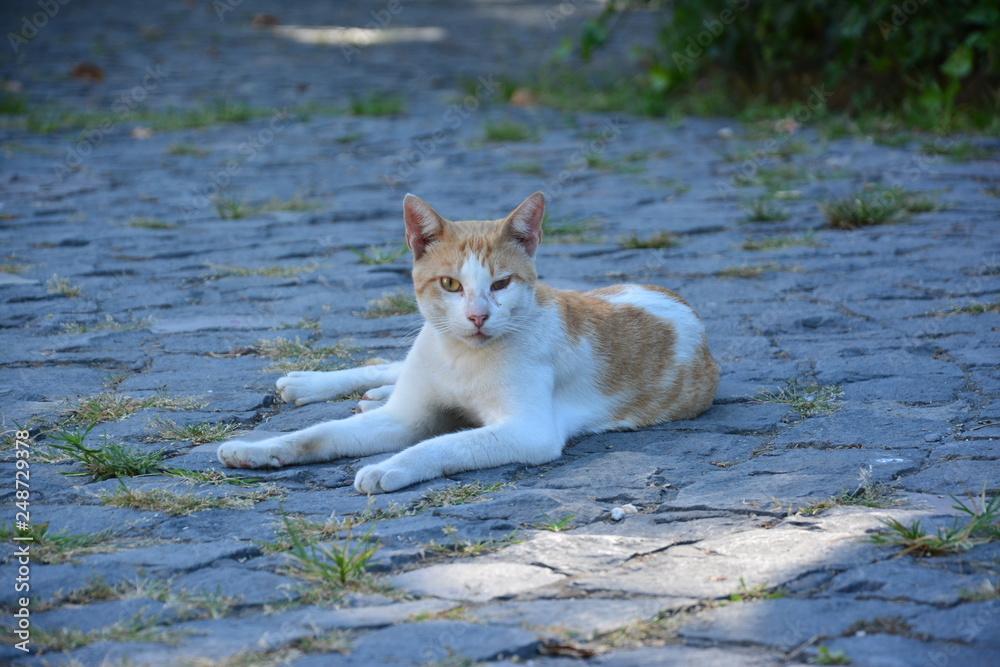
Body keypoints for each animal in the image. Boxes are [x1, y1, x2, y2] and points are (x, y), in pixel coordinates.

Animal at [219, 190, 720, 494]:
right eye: (450, 284)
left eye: (501, 284)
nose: (478, 316)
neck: (459, 357)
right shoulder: (406, 416)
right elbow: (317, 434)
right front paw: (256, 449)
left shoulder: (528, 432)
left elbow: (444, 444)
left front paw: (387, 466)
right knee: (388, 367)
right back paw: (310, 384)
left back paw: (367, 395)